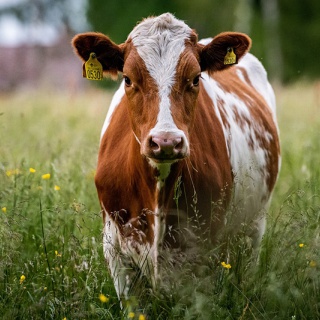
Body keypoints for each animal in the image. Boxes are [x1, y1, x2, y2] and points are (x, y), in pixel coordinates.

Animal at [72, 11, 280, 302]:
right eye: (128, 79)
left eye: (195, 79)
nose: (166, 141)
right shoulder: (115, 251)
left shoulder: (206, 250)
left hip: (254, 226)